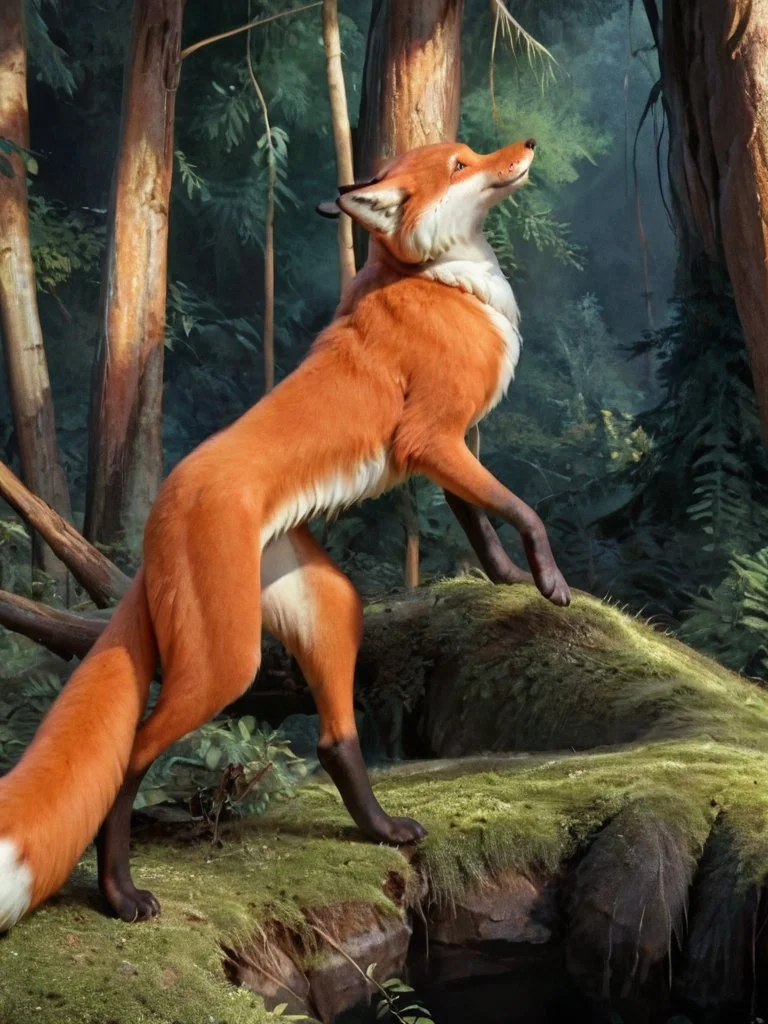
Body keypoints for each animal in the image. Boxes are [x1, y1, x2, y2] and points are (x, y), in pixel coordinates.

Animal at [0, 137, 570, 930]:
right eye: (459, 165)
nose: (526, 147)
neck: (445, 282)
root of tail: (157, 521)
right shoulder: (433, 440)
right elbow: (525, 512)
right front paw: (550, 582)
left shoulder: (444, 449)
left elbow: (482, 523)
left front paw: (510, 580)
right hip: (226, 661)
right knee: (135, 754)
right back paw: (120, 894)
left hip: (328, 603)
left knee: (335, 739)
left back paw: (380, 829)